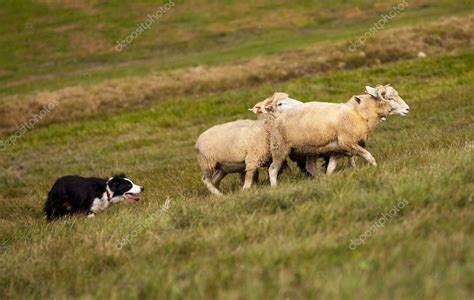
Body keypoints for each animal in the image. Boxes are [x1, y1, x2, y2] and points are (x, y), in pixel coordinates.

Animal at [268, 84, 410, 186]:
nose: (407, 109)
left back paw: (320, 179)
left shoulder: (339, 149)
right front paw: (376, 168)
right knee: (272, 169)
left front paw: (329, 178)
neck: (359, 113)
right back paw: (275, 187)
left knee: (310, 167)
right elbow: (369, 156)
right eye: (390, 98)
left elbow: (331, 167)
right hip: (280, 148)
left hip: (310, 149)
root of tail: (277, 118)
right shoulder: (347, 142)